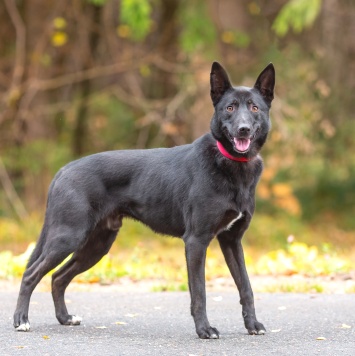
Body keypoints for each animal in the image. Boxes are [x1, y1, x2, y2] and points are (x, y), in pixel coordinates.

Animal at [13, 62, 276, 340]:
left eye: (255, 108)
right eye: (230, 108)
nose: (243, 129)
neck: (229, 163)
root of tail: (64, 170)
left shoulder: (232, 241)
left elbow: (246, 286)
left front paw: (253, 325)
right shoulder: (196, 240)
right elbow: (200, 292)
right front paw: (204, 329)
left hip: (97, 244)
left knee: (58, 277)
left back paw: (65, 318)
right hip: (68, 236)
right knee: (31, 273)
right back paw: (21, 321)